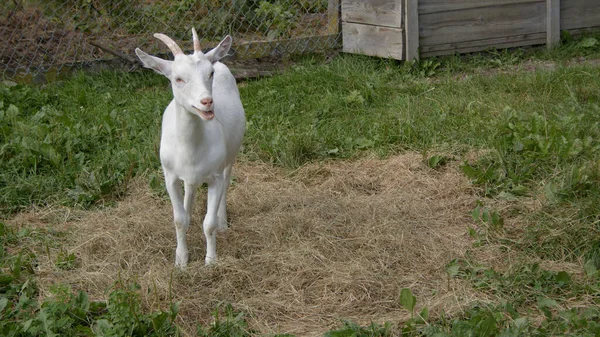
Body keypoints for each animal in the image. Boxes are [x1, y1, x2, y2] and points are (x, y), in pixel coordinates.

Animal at [137, 28, 246, 266]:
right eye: (178, 78)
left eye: (210, 73)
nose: (207, 102)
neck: (191, 147)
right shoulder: (170, 176)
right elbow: (179, 220)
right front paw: (181, 259)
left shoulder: (215, 176)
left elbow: (209, 223)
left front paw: (211, 260)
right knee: (190, 190)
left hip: (230, 158)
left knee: (226, 184)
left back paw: (223, 222)